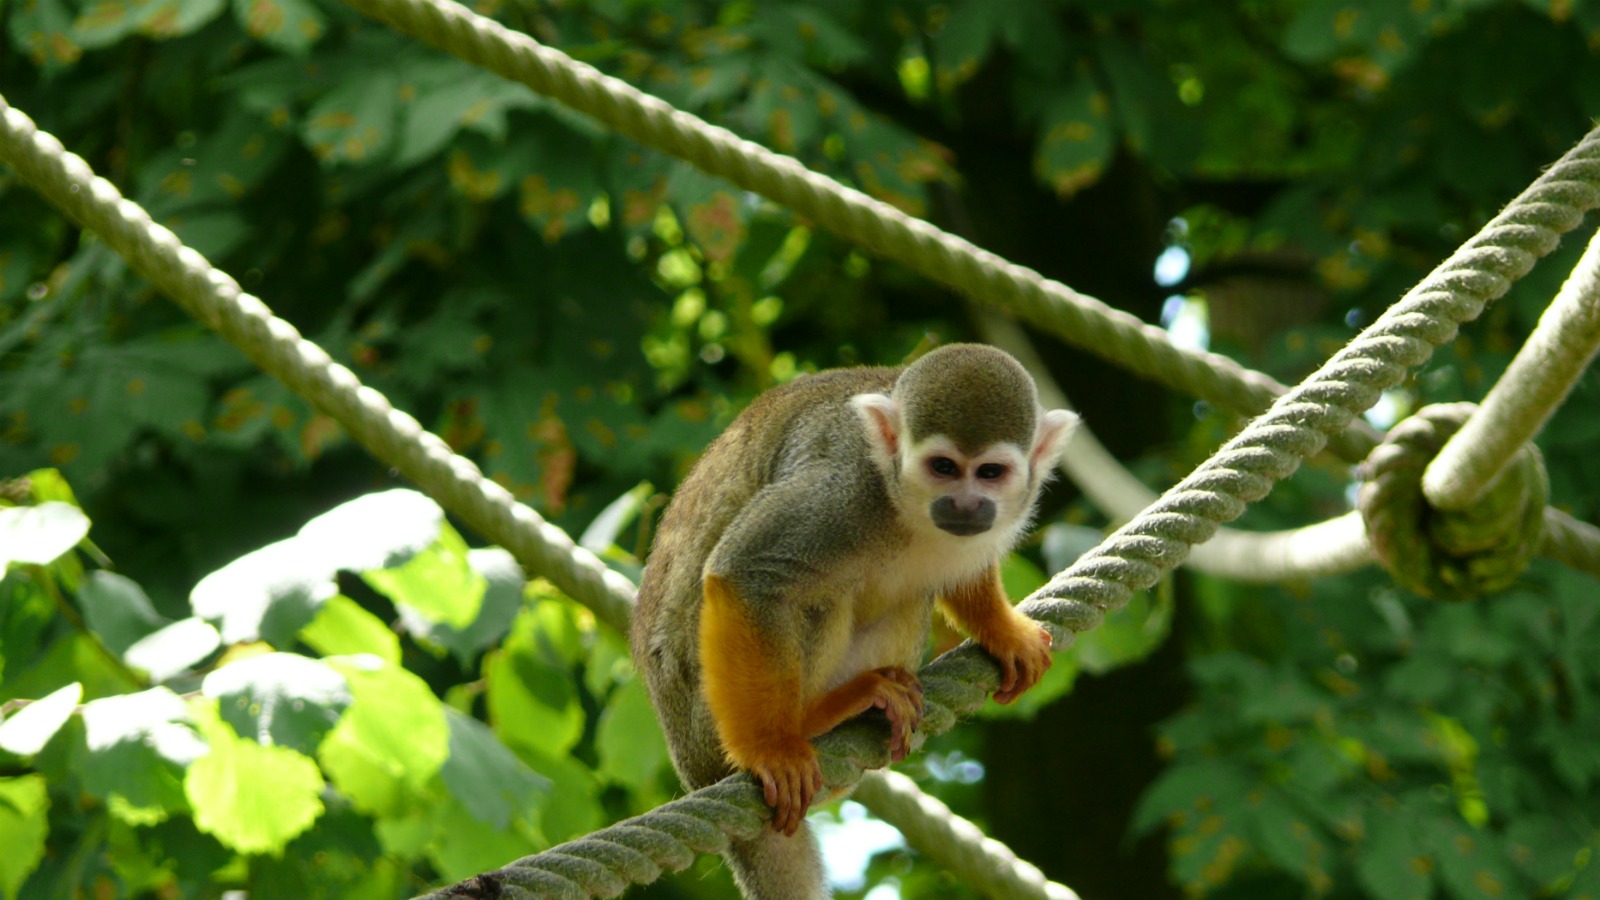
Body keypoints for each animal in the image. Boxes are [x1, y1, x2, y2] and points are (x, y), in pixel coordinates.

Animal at [630, 339, 1081, 890]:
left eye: (990, 473)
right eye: (943, 467)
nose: (965, 505)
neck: (900, 500)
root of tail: (690, 764)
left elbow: (964, 571)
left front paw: (1002, 630)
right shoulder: (841, 493)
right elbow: (748, 574)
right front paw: (770, 747)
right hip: (707, 719)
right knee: (814, 596)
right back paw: (814, 719)